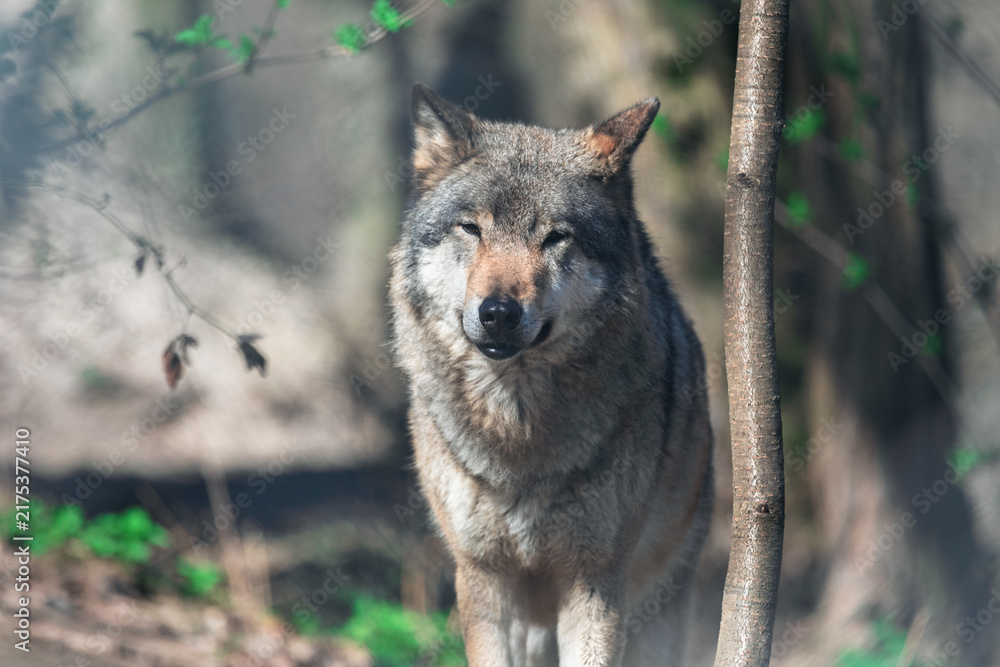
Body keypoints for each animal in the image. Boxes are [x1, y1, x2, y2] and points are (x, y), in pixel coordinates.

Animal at [389, 84, 714, 667]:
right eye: (472, 228)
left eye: (556, 238)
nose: (498, 312)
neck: (519, 437)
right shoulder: (483, 576)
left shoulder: (594, 578)